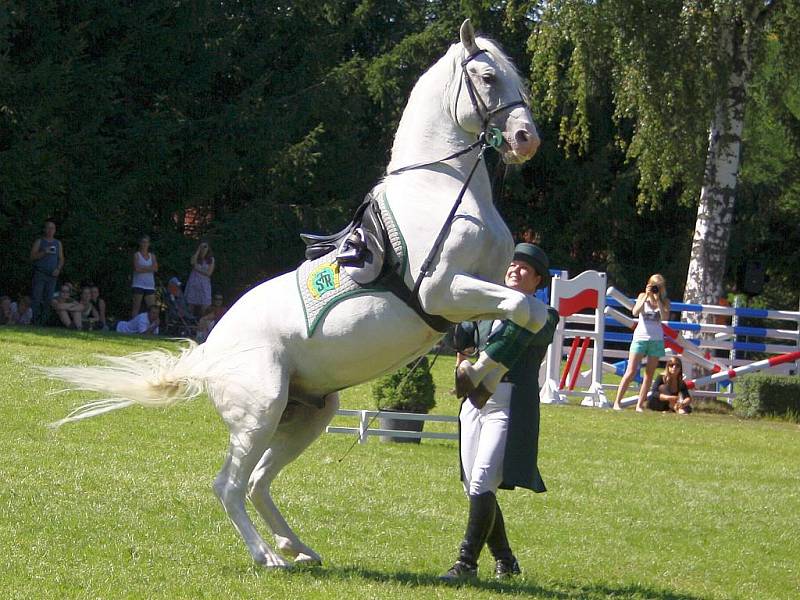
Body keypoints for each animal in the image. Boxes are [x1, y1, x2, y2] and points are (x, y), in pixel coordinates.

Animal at [48, 19, 544, 568]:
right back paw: (268, 556)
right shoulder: (442, 292)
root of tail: (208, 353)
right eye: (487, 77)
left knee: (258, 483)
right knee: (229, 484)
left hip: (308, 415)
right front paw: (478, 374)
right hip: (260, 412)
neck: (440, 190)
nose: (526, 139)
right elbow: (527, 308)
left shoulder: (490, 282)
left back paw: (298, 546)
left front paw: (478, 375)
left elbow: (531, 312)